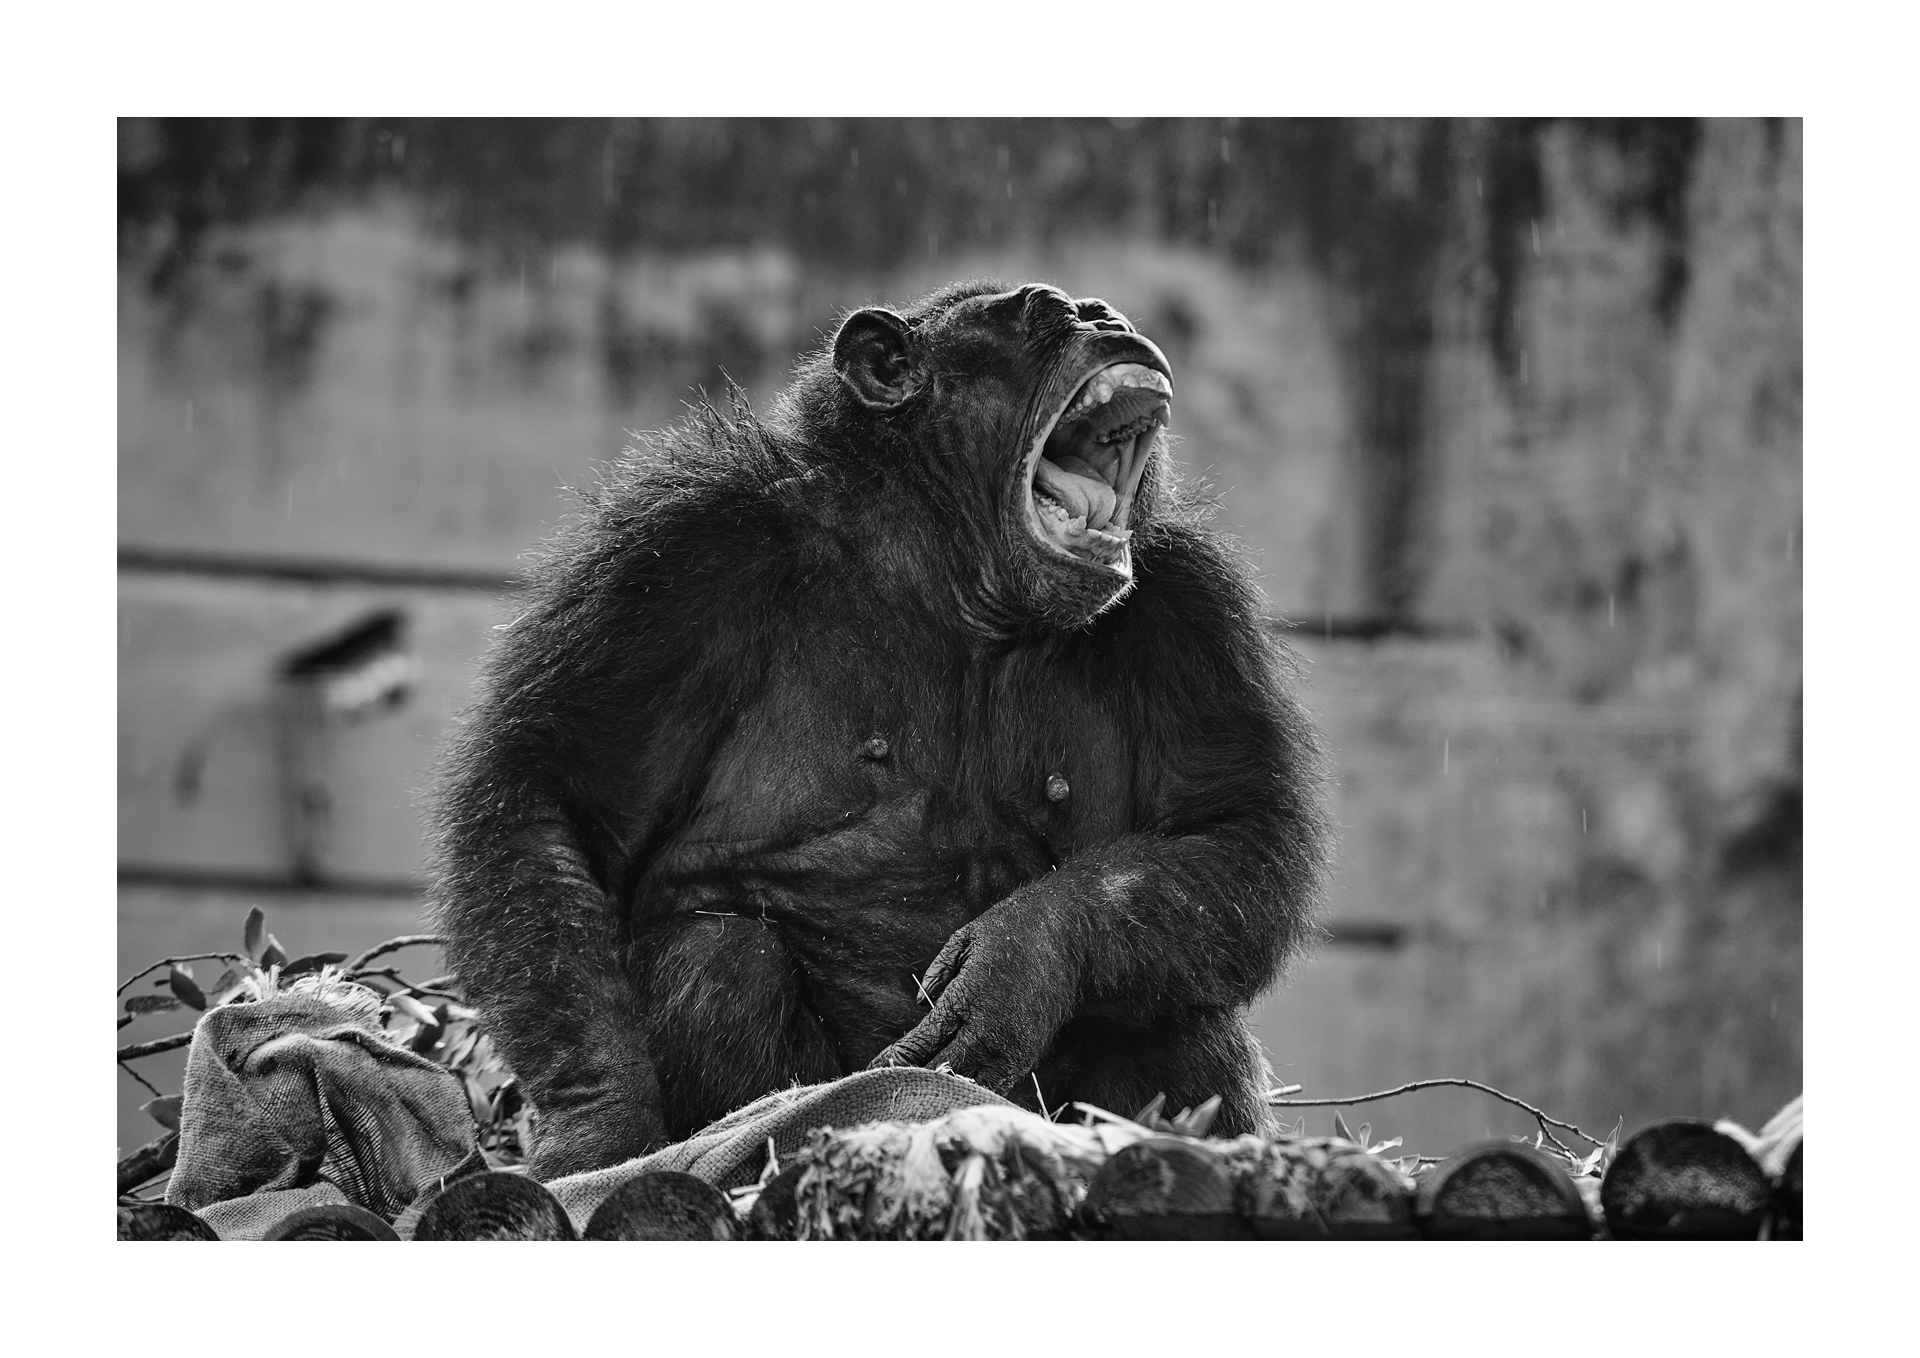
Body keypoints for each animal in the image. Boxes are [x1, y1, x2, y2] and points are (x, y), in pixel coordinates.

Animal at [428, 280, 1332, 1180]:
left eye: (1091, 309)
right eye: (1043, 311)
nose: (1106, 315)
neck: (949, 564)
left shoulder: (1190, 606)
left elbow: (1236, 829)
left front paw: (1026, 954)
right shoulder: (676, 551)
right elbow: (553, 796)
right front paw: (600, 1130)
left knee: (1175, 1002)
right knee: (715, 960)